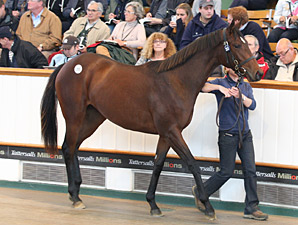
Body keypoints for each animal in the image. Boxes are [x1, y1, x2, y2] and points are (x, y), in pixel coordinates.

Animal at [40, 22, 262, 220]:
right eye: (237, 45)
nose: (258, 72)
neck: (175, 81)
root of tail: (68, 64)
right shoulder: (172, 132)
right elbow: (192, 164)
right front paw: (207, 207)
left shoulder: (166, 134)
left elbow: (158, 165)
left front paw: (153, 204)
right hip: (74, 116)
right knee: (68, 147)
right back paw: (75, 196)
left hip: (93, 118)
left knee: (73, 147)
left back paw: (76, 192)